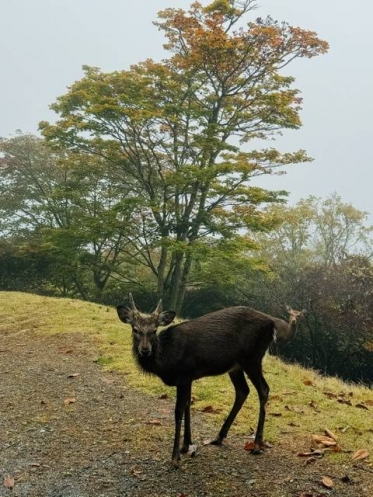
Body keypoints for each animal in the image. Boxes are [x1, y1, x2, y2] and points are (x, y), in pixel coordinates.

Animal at [116, 296, 302, 466]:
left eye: (154, 330)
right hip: (235, 366)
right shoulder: (189, 377)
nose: (145, 350)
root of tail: (271, 322)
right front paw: (186, 445)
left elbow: (178, 411)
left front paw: (175, 458)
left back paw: (256, 445)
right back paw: (219, 437)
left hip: (253, 358)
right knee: (243, 390)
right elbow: (187, 406)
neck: (166, 360)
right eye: (135, 329)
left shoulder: (184, 375)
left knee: (264, 389)